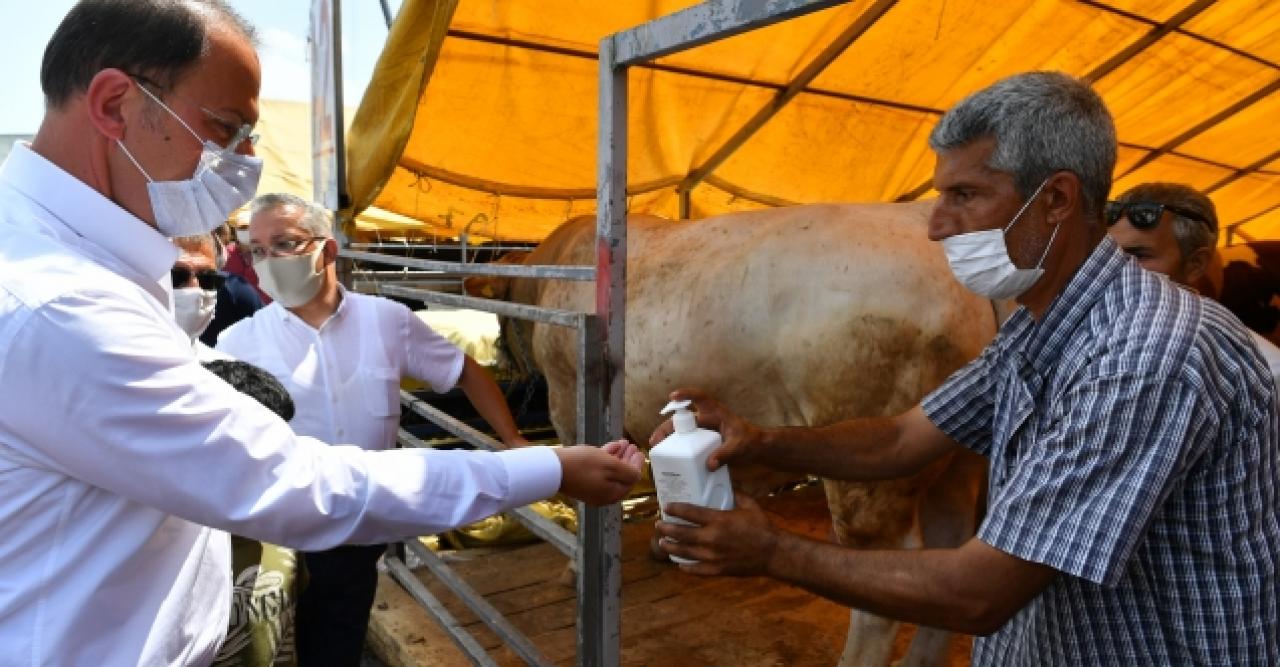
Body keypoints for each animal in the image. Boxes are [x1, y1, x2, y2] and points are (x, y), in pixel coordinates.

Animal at [471, 202, 998, 665]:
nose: (499, 359)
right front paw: (661, 542)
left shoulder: (566, 397)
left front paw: (577, 566)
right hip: (958, 457)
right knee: (949, 554)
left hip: (869, 470)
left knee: (884, 587)